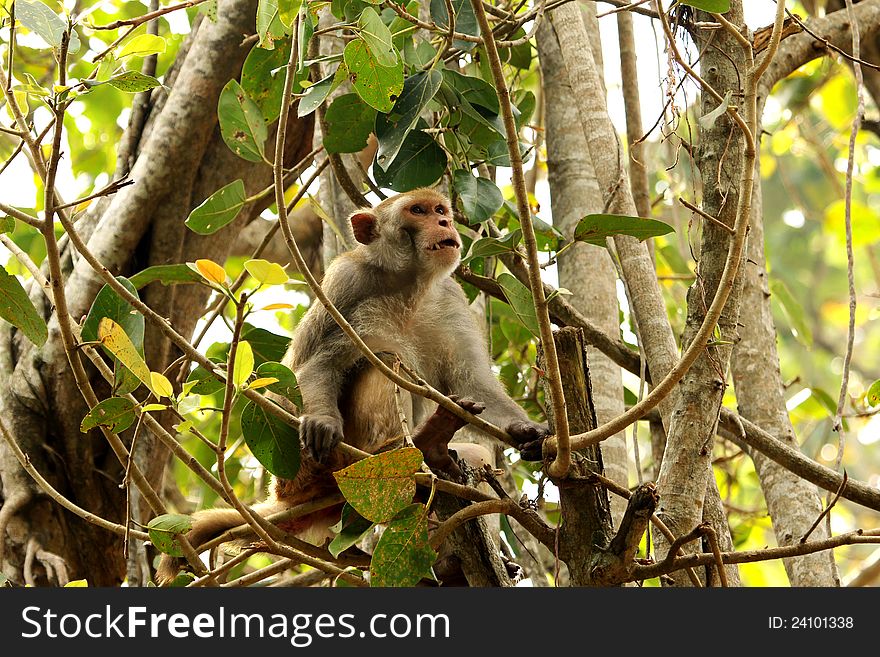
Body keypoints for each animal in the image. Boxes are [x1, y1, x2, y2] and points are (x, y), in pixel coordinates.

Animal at [155, 187, 548, 580]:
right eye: (418, 211)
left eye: (440, 209)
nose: (444, 222)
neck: (409, 285)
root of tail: (286, 496)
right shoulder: (346, 282)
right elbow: (317, 365)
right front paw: (322, 420)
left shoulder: (450, 297)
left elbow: (472, 386)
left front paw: (531, 432)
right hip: (316, 468)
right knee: (386, 362)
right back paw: (414, 447)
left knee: (473, 454)